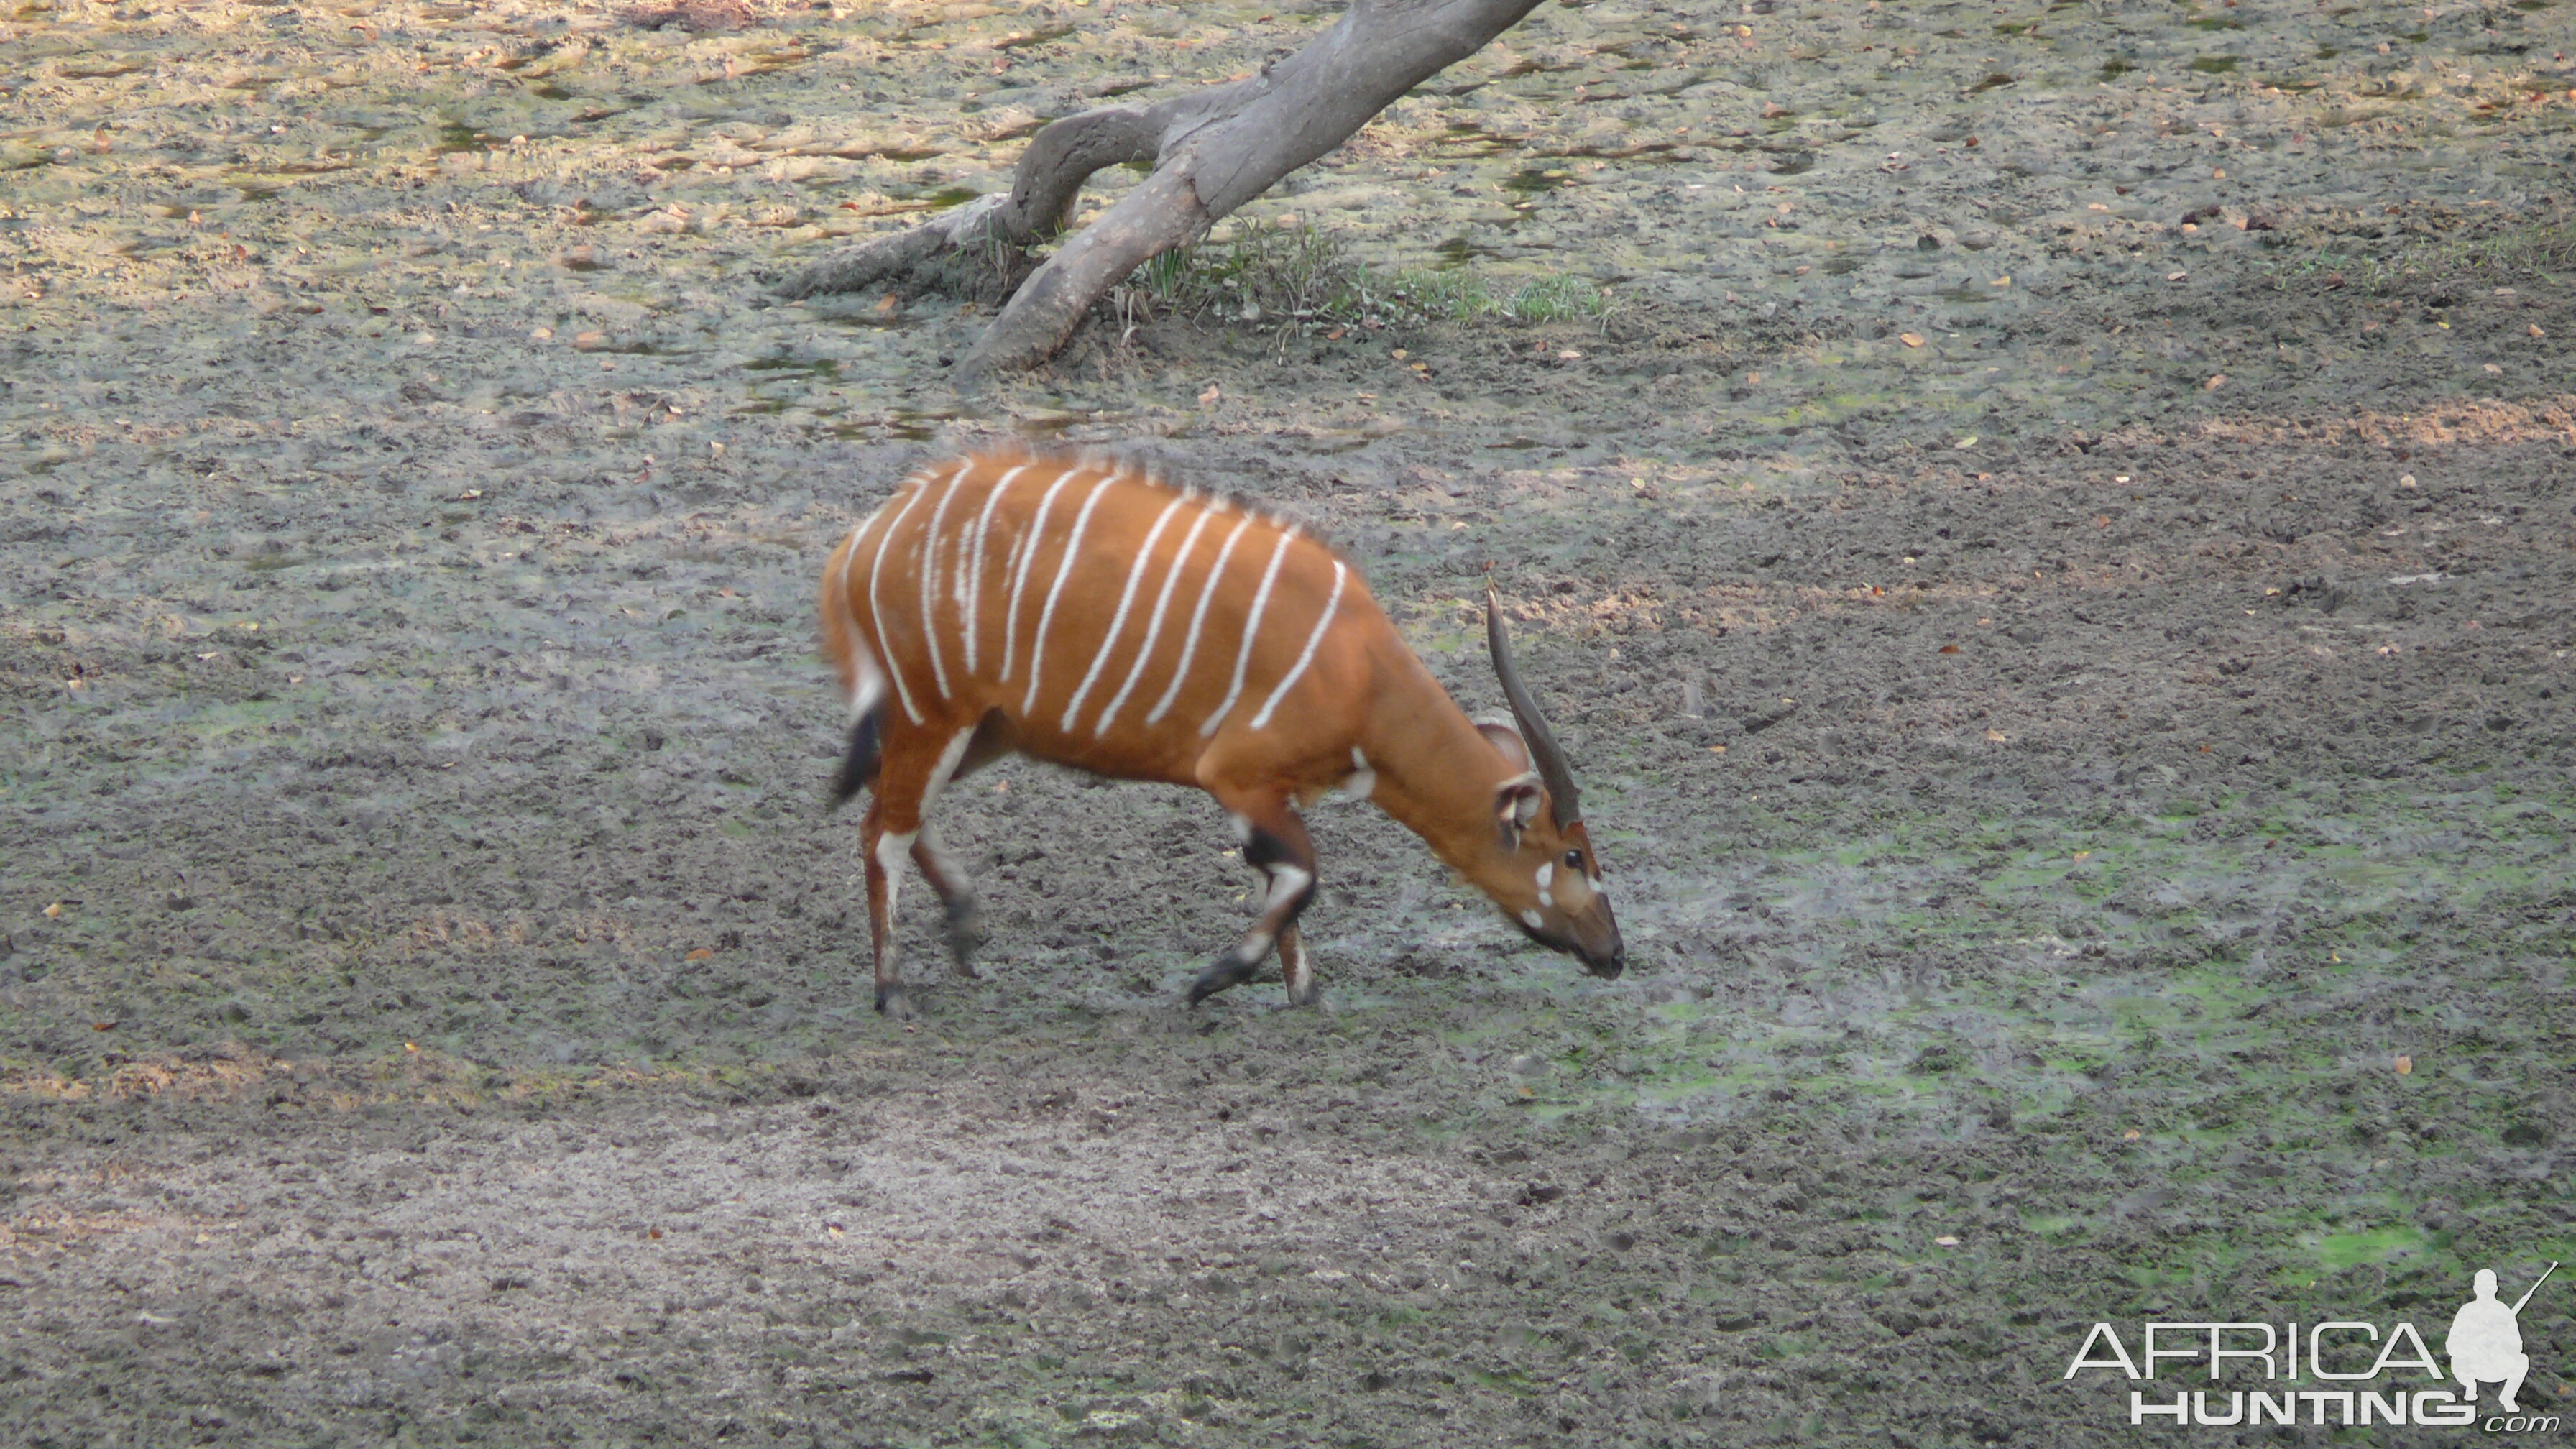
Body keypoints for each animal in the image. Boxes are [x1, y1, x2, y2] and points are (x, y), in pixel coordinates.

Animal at [819, 446, 1628, 1011]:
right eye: (1574, 857)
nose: (1615, 954)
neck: (1358, 666)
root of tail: (859, 543)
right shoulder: (1235, 777)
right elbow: (1301, 876)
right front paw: (1214, 980)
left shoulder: (1272, 792)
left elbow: (1285, 880)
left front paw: (1303, 991)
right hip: (933, 715)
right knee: (881, 832)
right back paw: (892, 991)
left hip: (982, 729)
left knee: (882, 809)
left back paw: (962, 931)